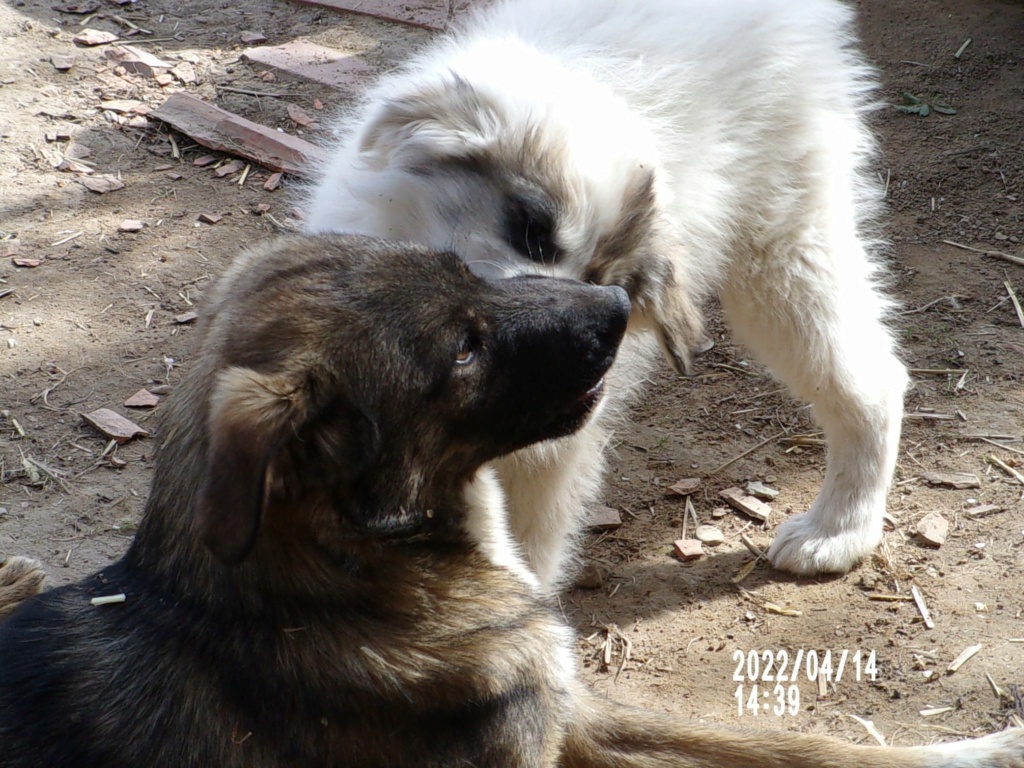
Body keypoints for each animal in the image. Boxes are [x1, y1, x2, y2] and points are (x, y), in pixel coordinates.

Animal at [2, 237, 1024, 765]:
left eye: (468, 266)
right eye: (462, 348)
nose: (619, 305)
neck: (352, 576)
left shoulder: (574, 708)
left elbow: (805, 747)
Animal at [301, 0, 905, 593]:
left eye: (603, 280)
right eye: (532, 231)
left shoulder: (546, 456)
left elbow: (525, 560)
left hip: (783, 256)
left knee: (872, 381)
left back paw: (839, 530)